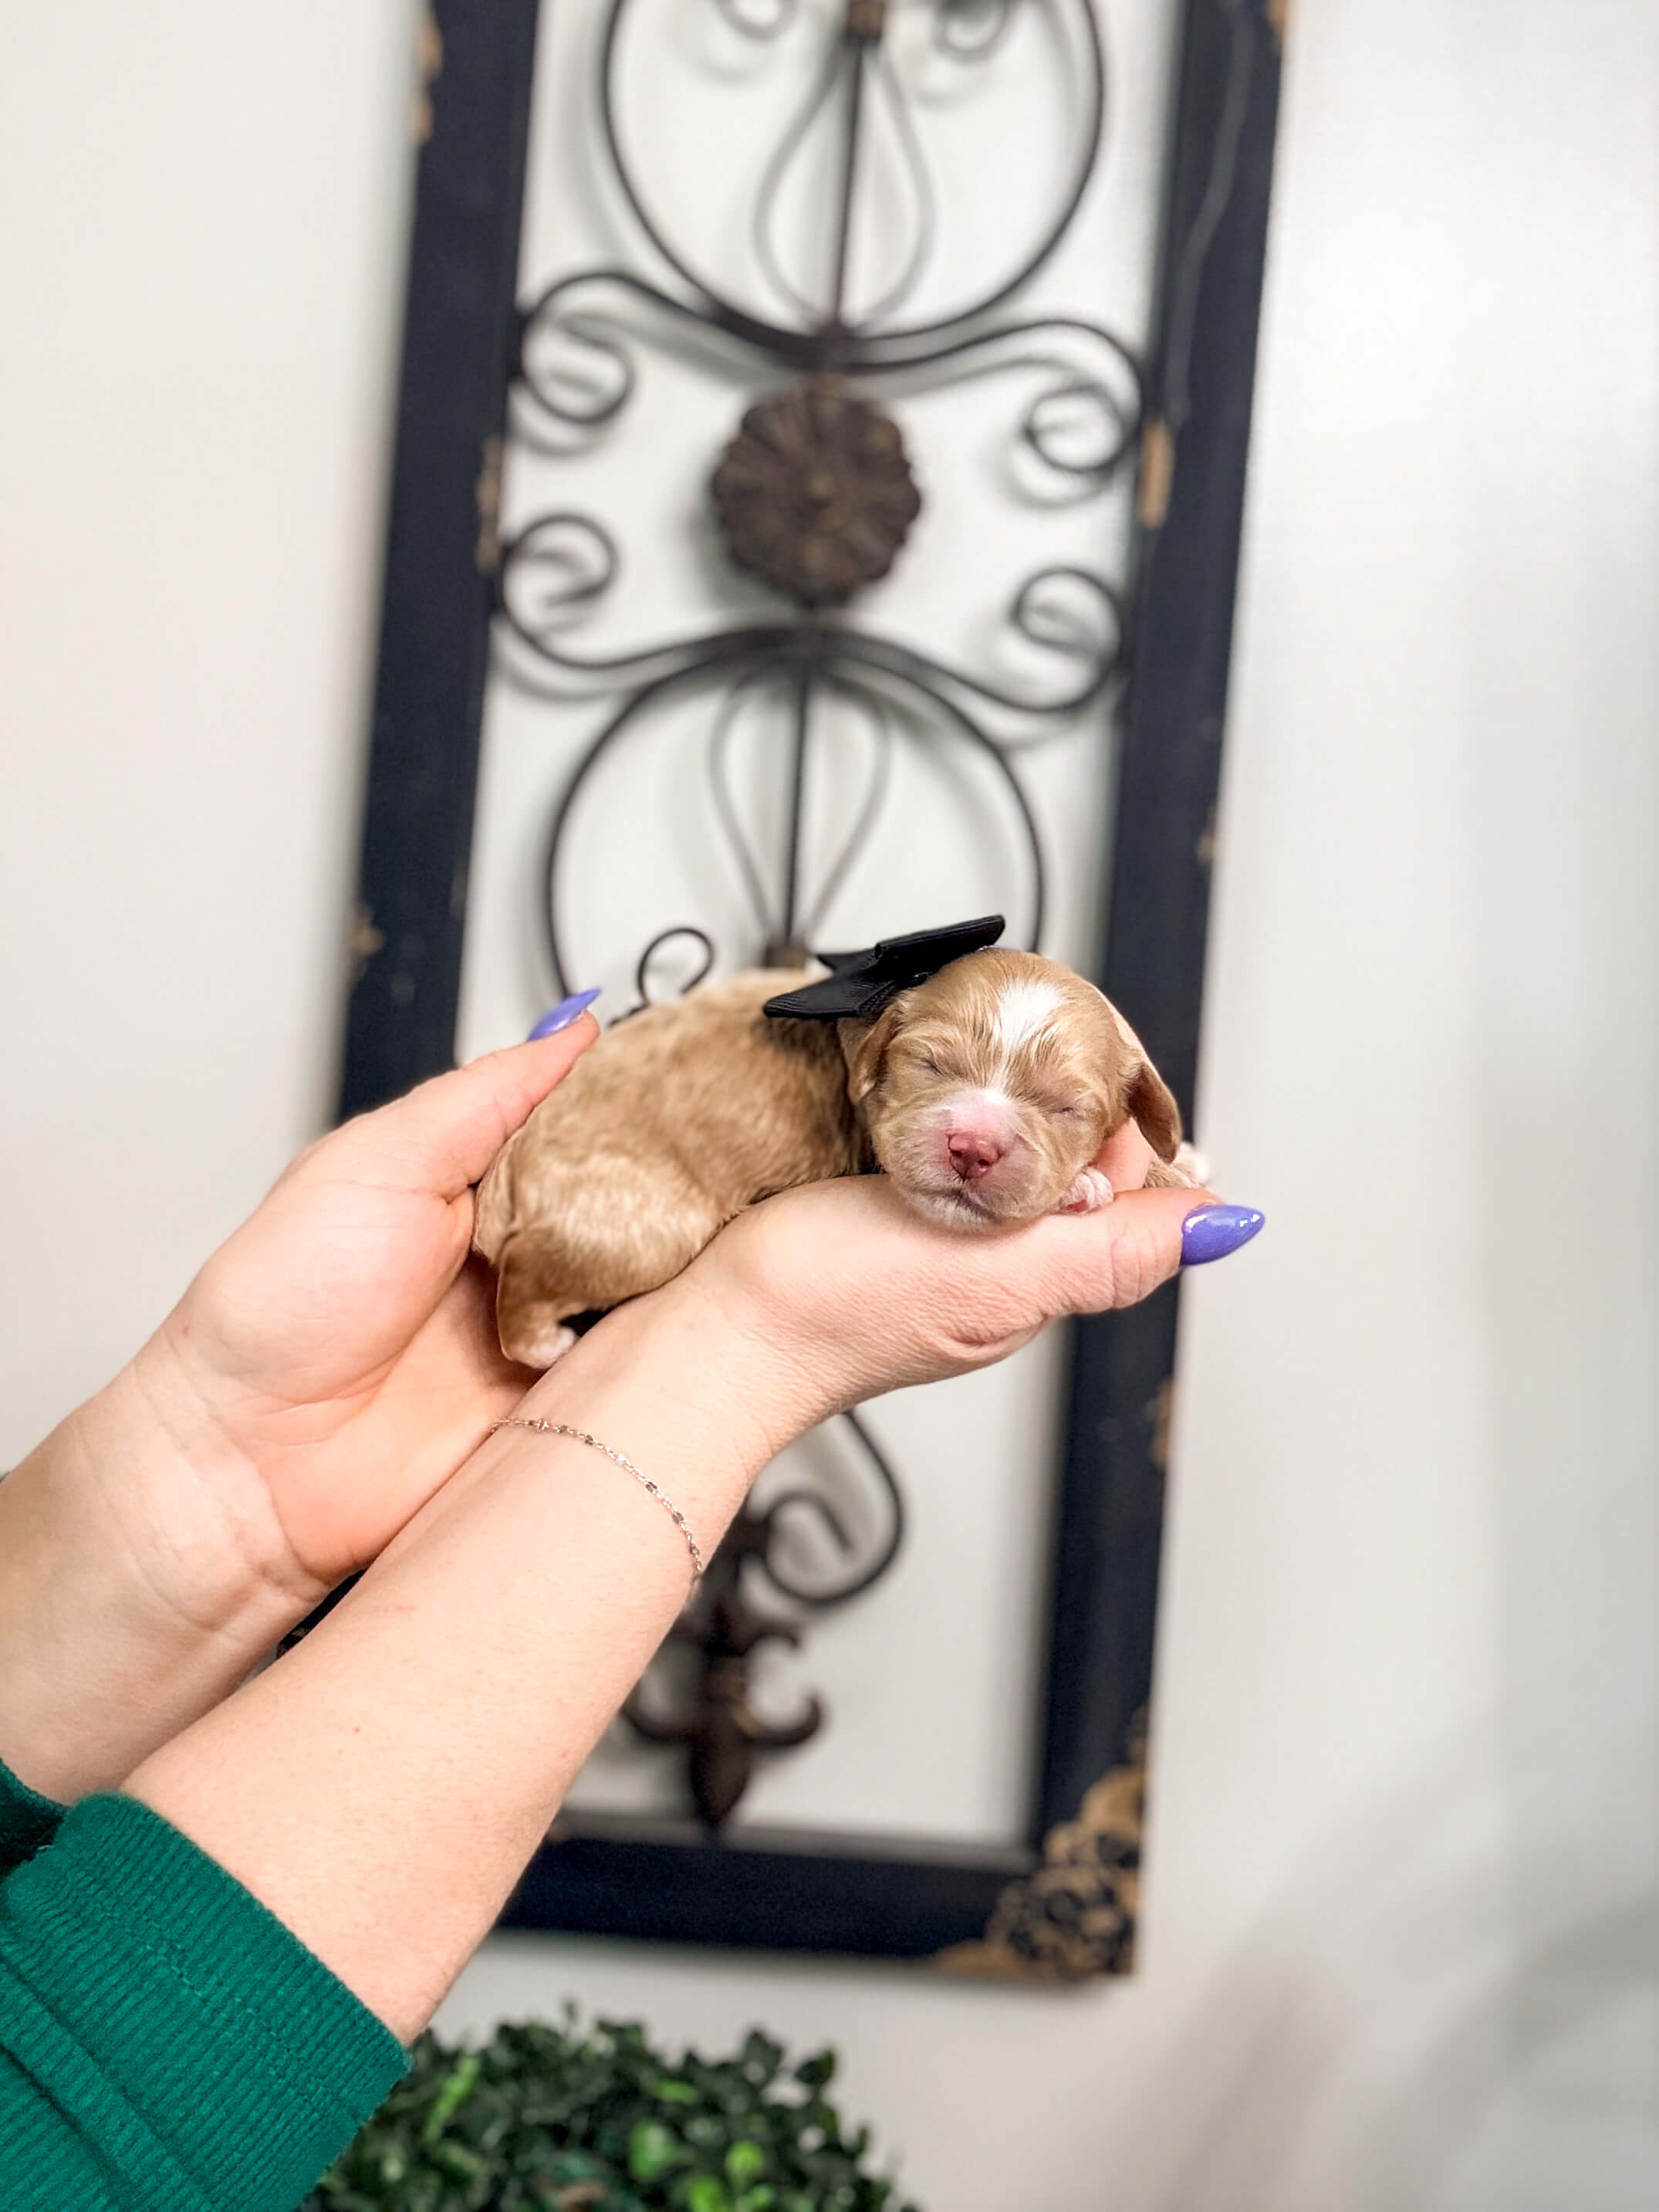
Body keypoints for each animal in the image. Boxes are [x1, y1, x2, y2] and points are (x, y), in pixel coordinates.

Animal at [474, 948, 1198, 1368]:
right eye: (930, 1065)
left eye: (1063, 1107)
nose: (973, 1148)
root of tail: (511, 1165)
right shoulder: (873, 1145)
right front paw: (1087, 1185)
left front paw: (1180, 1159)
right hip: (641, 1228)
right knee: (526, 1273)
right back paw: (541, 1346)